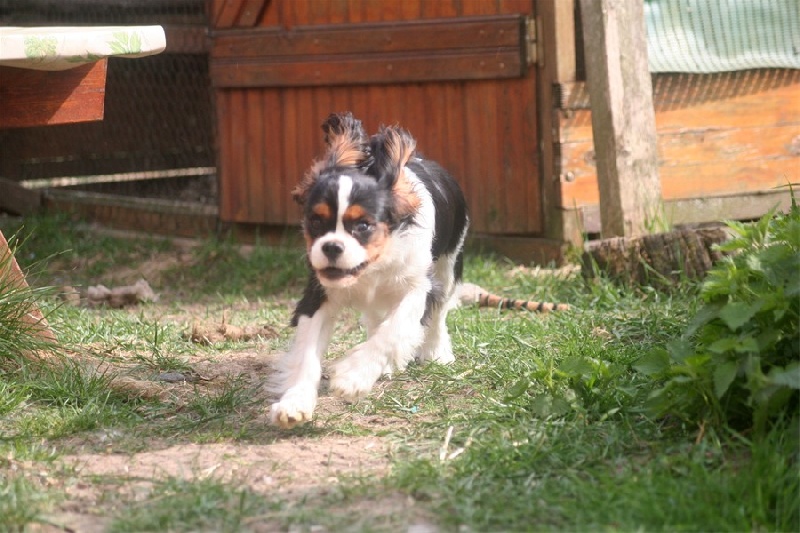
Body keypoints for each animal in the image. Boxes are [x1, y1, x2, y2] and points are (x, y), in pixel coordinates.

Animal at [268, 112, 468, 428]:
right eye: (315, 221)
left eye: (363, 225)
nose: (332, 247)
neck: (372, 267)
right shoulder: (317, 296)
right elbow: (307, 354)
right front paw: (295, 402)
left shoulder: (419, 288)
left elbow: (394, 331)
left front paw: (353, 377)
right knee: (376, 318)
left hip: (448, 268)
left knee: (438, 315)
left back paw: (437, 352)